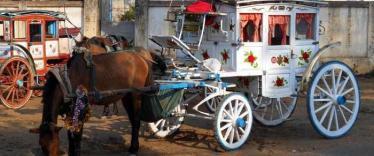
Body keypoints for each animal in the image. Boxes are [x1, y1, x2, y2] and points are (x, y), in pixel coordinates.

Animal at [32, 47, 164, 155]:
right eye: (42, 146)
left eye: (55, 145)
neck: (66, 80)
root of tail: (142, 58)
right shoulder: (70, 110)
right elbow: (71, 134)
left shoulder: (81, 107)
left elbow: (77, 135)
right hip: (126, 96)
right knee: (133, 120)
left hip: (136, 95)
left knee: (136, 121)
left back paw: (134, 149)